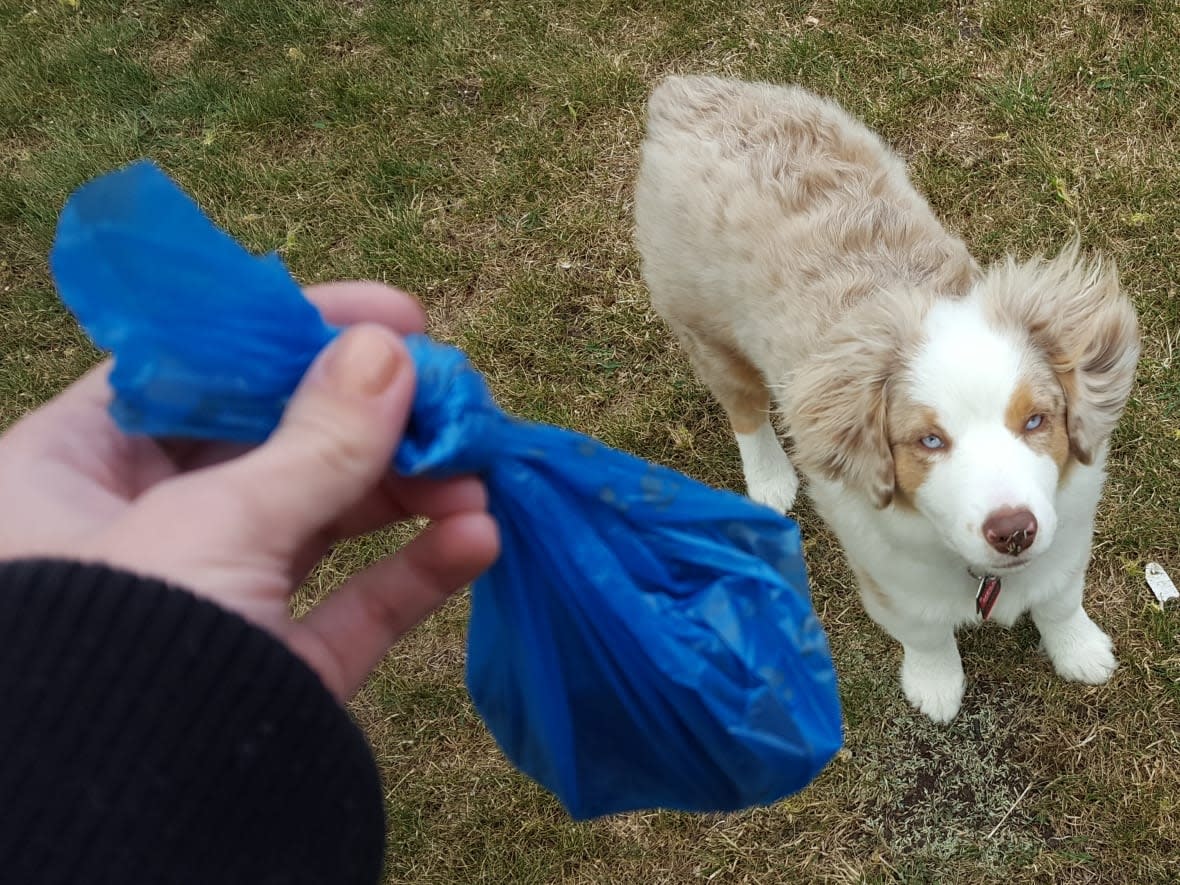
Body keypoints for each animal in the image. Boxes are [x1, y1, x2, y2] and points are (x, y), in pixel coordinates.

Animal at [637, 76, 1142, 722]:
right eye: (929, 440)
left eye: (1035, 420)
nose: (1014, 531)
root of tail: (688, 93)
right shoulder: (890, 579)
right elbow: (926, 634)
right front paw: (936, 688)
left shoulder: (1066, 532)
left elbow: (1059, 599)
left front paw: (1081, 652)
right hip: (704, 325)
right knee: (744, 407)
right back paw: (770, 479)